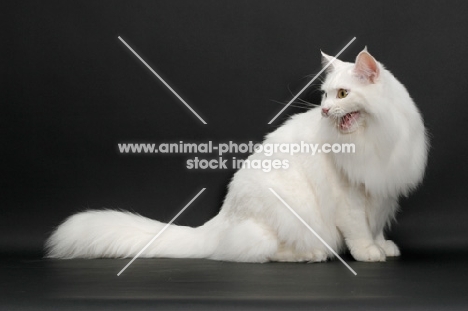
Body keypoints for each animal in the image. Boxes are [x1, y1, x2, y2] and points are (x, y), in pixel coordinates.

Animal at [45, 48, 430, 264]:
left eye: (343, 94)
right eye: (324, 96)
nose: (323, 111)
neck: (373, 140)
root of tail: (221, 219)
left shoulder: (380, 192)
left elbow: (375, 226)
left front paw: (383, 247)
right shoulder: (348, 199)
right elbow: (359, 231)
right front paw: (368, 254)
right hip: (284, 211)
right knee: (255, 251)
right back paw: (312, 255)